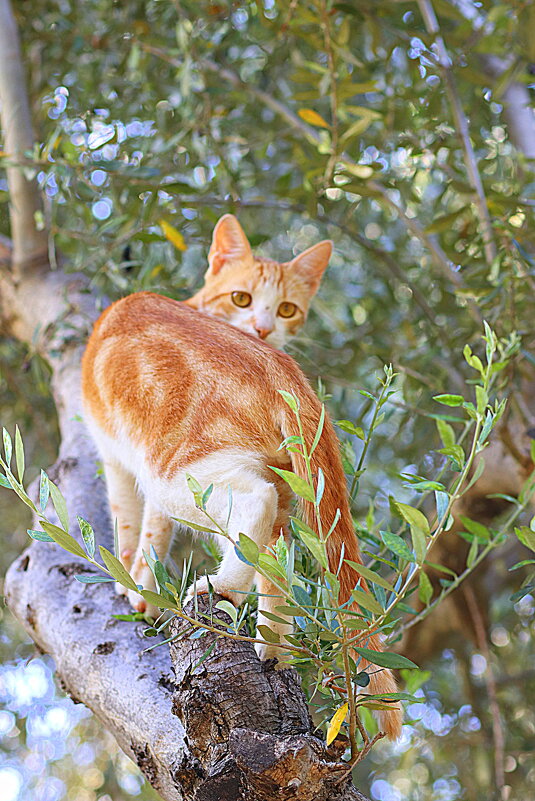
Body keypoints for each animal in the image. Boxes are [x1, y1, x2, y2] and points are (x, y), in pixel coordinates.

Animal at [80, 214, 402, 736]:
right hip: (274, 489)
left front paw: (132, 582)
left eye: (286, 308)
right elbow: (157, 532)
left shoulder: (117, 458)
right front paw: (143, 584)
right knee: (276, 553)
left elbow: (131, 525)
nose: (263, 328)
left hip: (178, 472)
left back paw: (219, 587)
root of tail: (284, 371)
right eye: (242, 298)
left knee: (256, 506)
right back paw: (274, 647)